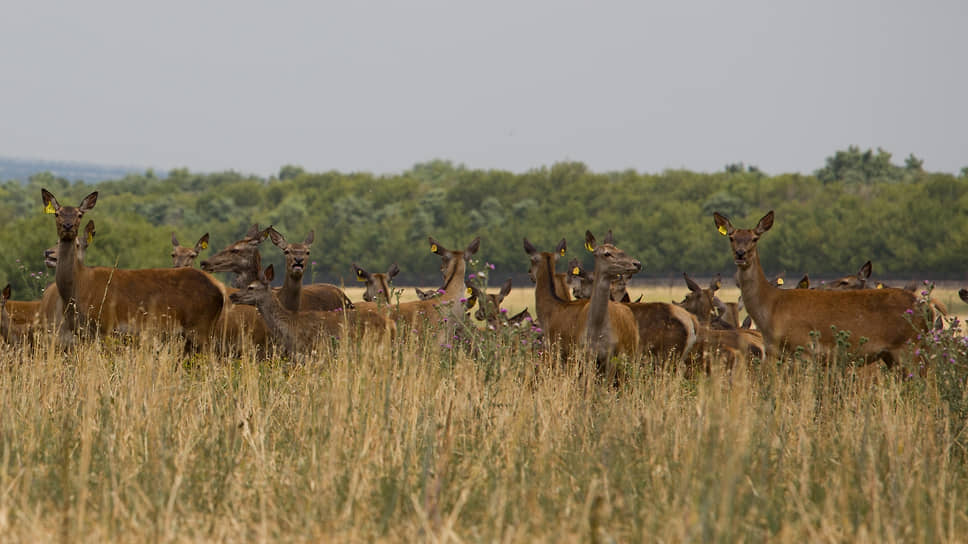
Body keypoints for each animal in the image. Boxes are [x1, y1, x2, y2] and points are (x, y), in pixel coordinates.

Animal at [41, 189, 225, 346]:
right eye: (57, 213)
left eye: (80, 214)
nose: (67, 226)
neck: (79, 288)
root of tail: (220, 292)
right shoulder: (82, 334)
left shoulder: (106, 327)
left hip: (200, 328)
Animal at [712, 210, 932, 368]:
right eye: (731, 237)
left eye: (755, 238)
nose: (741, 254)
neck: (772, 307)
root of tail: (922, 308)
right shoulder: (775, 353)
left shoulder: (804, 348)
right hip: (892, 355)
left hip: (909, 348)